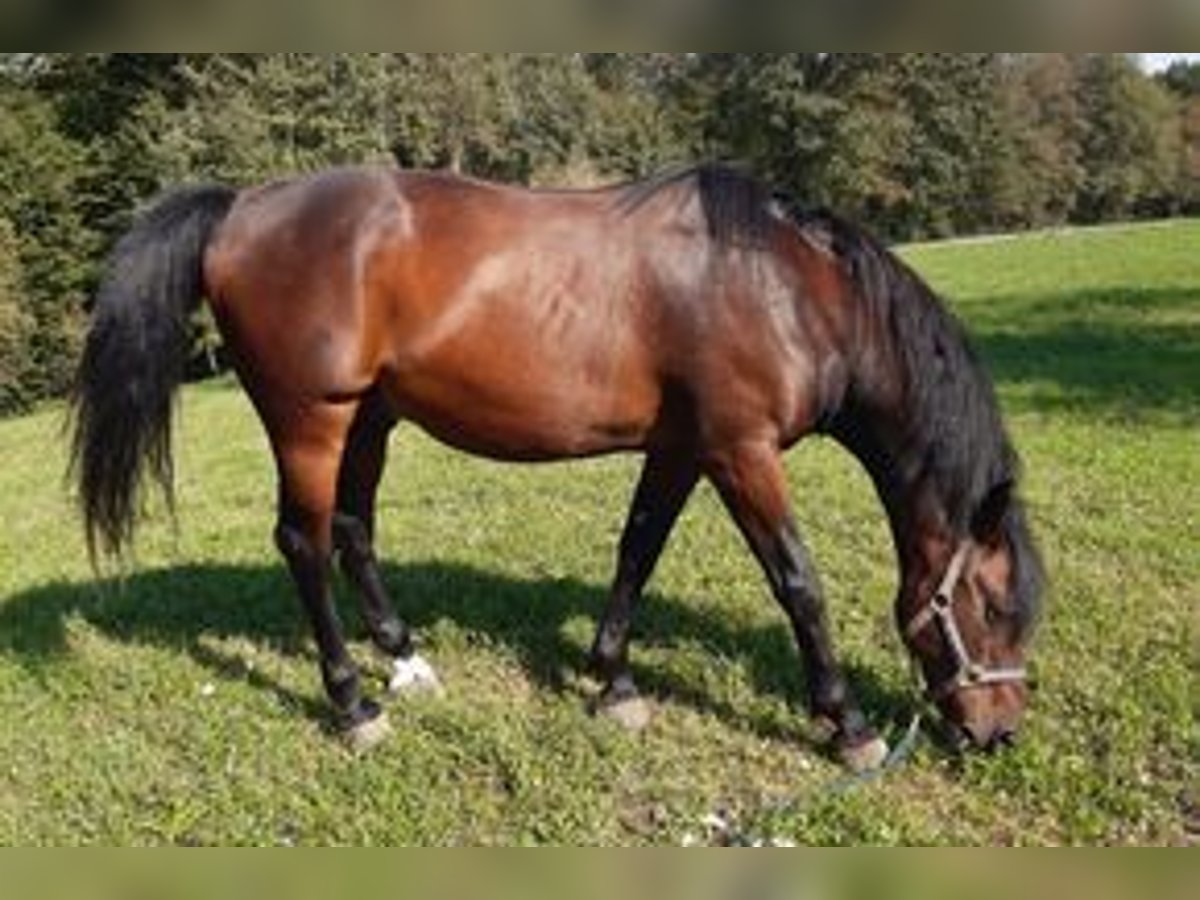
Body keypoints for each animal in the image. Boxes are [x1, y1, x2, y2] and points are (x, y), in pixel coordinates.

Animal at [70, 164, 1041, 777]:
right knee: (303, 542)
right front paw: (847, 723)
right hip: (312, 419)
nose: (998, 733)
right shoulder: (740, 450)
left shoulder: (680, 449)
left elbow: (637, 552)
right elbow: (799, 581)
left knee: (352, 530)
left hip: (371, 417)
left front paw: (612, 681)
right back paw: (352, 706)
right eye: (994, 607)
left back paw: (406, 662)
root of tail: (244, 204)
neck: (787, 288)